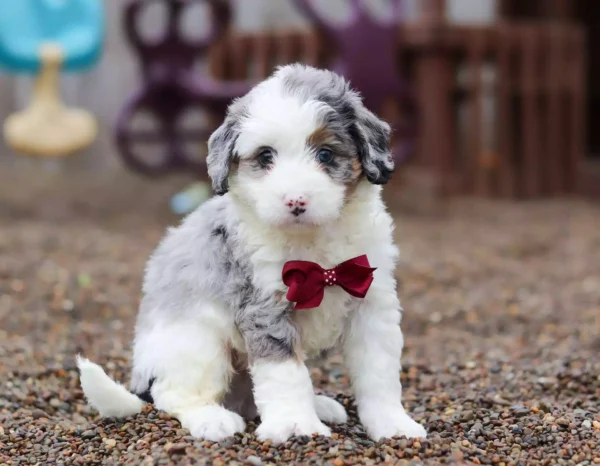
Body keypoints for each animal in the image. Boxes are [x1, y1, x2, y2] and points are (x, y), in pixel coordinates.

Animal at [78, 62, 426, 444]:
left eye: (325, 154)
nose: (295, 200)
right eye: (265, 156)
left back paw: (318, 406)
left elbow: (379, 373)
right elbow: (285, 373)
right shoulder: (265, 308)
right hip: (196, 341)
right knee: (174, 394)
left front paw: (393, 425)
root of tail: (144, 374)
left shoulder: (372, 302)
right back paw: (212, 419)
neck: (314, 249)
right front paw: (295, 426)